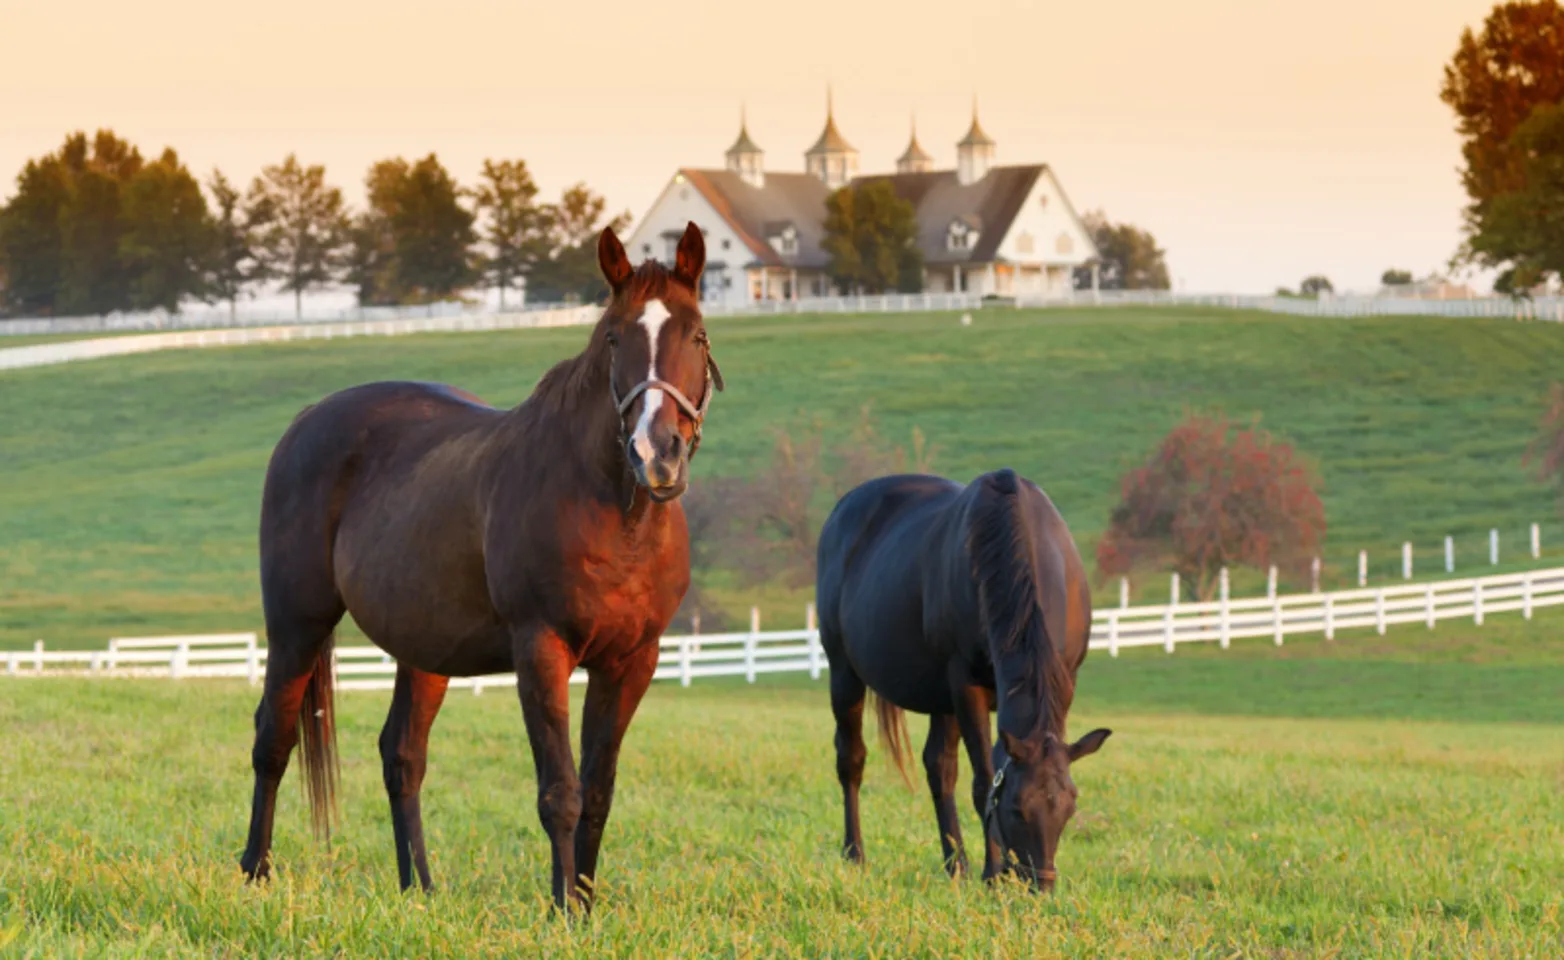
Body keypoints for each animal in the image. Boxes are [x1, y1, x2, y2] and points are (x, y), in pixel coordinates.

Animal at [238, 221, 724, 911]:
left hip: (423, 648)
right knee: (273, 739)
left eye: (698, 334)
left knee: (402, 756)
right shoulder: (541, 650)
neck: (614, 513)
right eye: (613, 337)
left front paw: (586, 904)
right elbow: (560, 791)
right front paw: (563, 911)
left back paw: (419, 888)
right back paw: (256, 870)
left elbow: (598, 792)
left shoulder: (632, 661)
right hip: (296, 625)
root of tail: (307, 421)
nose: (657, 454)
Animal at [814, 468, 1111, 890]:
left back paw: (955, 864)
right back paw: (855, 854)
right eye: (1017, 809)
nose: (1040, 885)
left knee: (939, 768)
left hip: (940, 698)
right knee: (851, 759)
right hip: (845, 673)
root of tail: (843, 507)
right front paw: (992, 874)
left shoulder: (1062, 684)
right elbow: (984, 781)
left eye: (1069, 807)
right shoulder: (966, 687)